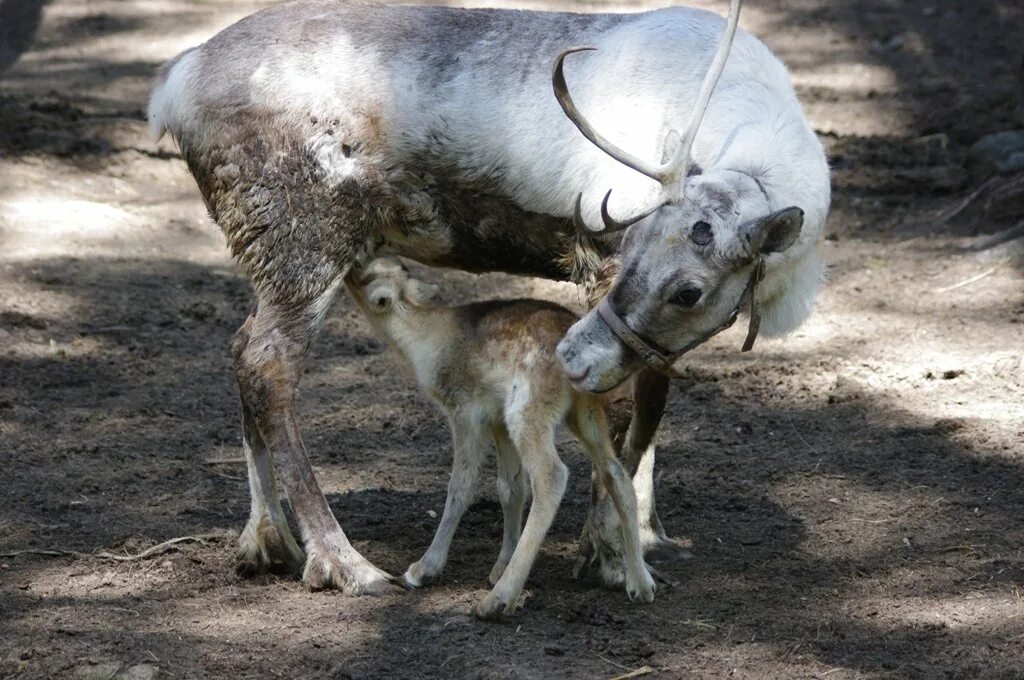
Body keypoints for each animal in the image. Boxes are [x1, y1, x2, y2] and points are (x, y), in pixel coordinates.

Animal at [346, 258, 655, 618]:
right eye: (396, 264)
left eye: (367, 276)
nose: (352, 264)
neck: (424, 339)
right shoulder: (497, 420)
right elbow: (510, 487)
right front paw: (499, 565)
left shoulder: (465, 411)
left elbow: (460, 486)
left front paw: (423, 570)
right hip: (583, 411)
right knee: (614, 472)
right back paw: (641, 584)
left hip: (527, 411)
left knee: (552, 475)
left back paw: (499, 599)